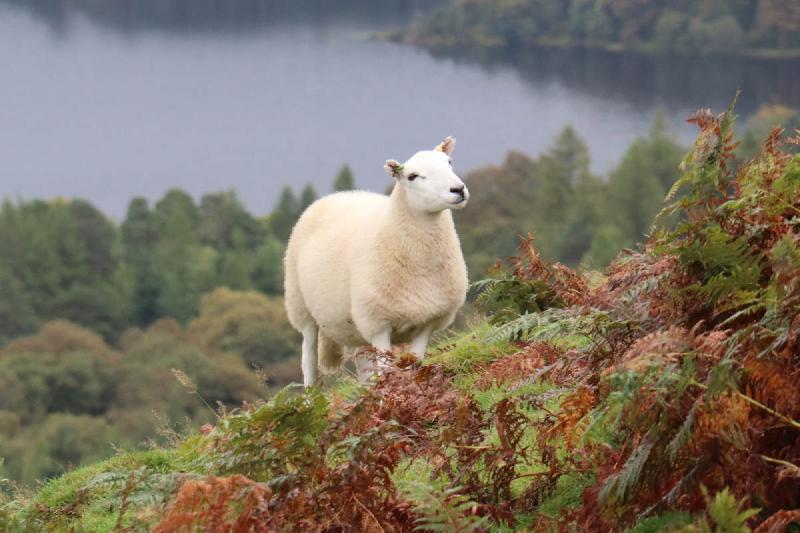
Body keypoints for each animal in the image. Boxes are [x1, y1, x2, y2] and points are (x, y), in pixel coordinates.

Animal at [284, 136, 470, 386]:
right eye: (412, 176)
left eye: (449, 162)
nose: (458, 190)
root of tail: (338, 194)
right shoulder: (378, 324)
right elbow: (385, 373)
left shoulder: (426, 322)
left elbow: (414, 367)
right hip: (303, 310)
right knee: (309, 362)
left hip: (355, 327)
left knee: (364, 371)